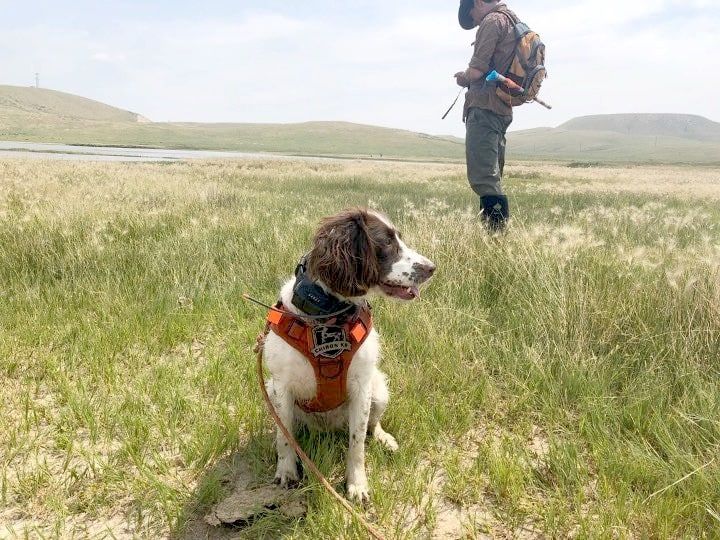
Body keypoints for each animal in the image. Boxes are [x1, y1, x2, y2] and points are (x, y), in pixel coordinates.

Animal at [262, 207, 436, 502]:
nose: (431, 268)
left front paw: (357, 485)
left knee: (371, 426)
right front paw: (286, 471)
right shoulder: (281, 387)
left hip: (379, 390)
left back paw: (384, 439)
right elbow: (284, 437)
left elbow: (357, 445)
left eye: (399, 238)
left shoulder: (361, 388)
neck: (329, 318)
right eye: (387, 242)